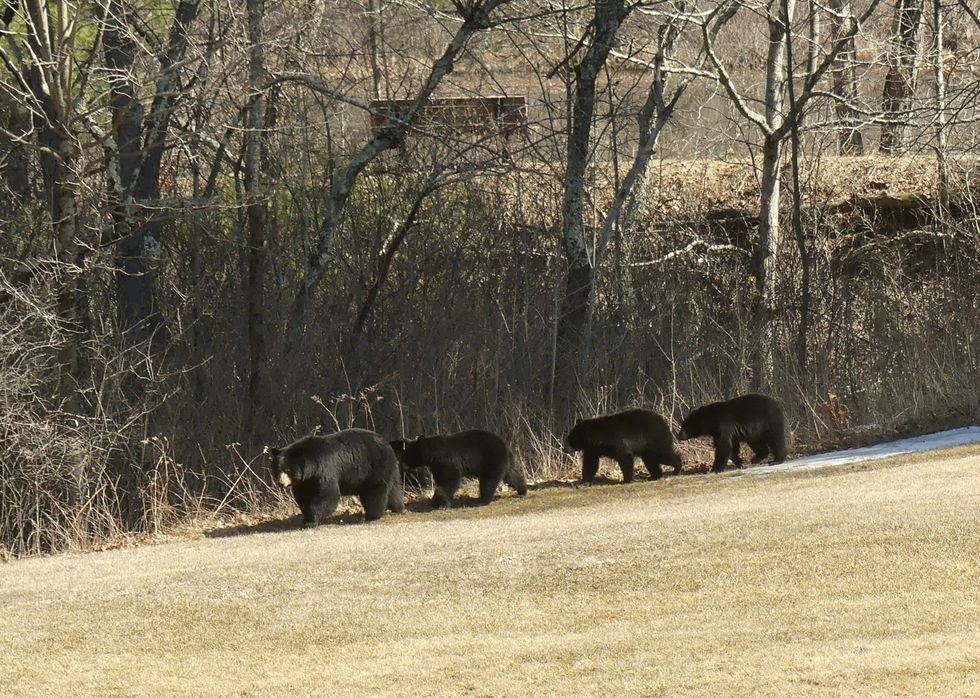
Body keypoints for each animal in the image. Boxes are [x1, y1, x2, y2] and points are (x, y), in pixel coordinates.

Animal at [268, 428, 405, 526]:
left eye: (288, 470)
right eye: (277, 469)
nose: (280, 483)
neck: (311, 467)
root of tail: (387, 444)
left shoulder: (324, 470)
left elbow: (328, 495)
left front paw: (311, 520)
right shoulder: (305, 481)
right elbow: (303, 496)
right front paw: (306, 518)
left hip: (374, 467)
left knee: (375, 491)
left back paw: (372, 516)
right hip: (389, 469)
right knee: (393, 490)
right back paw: (399, 508)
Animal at [397, 430, 528, 508]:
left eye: (407, 454)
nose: (402, 465)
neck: (433, 453)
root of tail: (505, 445)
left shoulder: (446, 461)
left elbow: (450, 480)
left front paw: (439, 502)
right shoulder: (436, 465)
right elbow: (442, 479)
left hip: (492, 460)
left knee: (489, 481)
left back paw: (483, 500)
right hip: (506, 462)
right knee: (512, 476)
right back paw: (522, 490)